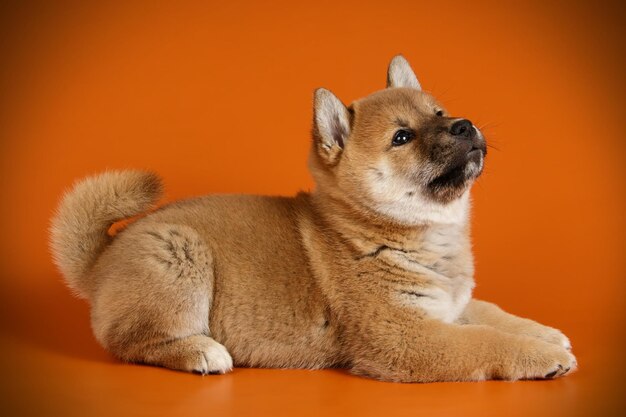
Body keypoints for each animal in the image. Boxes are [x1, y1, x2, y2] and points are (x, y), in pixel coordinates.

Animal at [50, 55, 576, 380]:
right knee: (131, 342)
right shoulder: (406, 337)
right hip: (180, 255)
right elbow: (486, 342)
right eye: (402, 137)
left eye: (440, 113)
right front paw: (543, 355)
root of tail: (103, 259)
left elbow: (490, 313)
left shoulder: (446, 306)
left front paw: (543, 331)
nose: (465, 125)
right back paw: (200, 350)